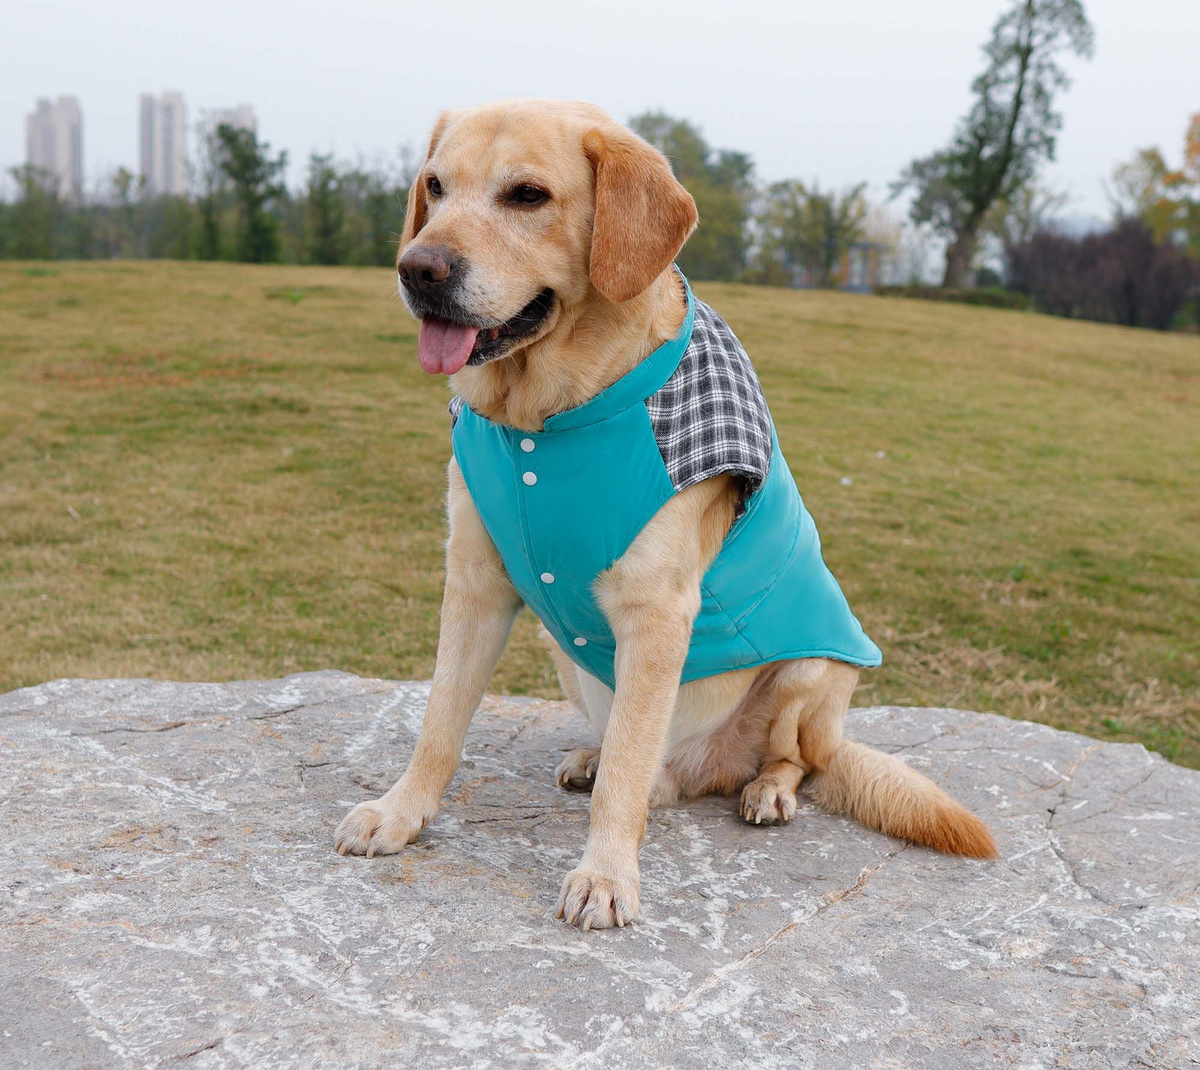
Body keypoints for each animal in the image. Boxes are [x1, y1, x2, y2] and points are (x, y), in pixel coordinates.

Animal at [336, 104, 993, 930]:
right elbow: (440, 726)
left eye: (527, 195)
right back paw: (597, 758)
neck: (544, 421)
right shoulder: (476, 581)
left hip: (811, 675)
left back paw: (764, 789)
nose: (417, 270)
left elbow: (625, 772)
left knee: (786, 761)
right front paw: (401, 813)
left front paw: (606, 874)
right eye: (434, 186)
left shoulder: (656, 613)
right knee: (638, 756)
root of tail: (698, 768)